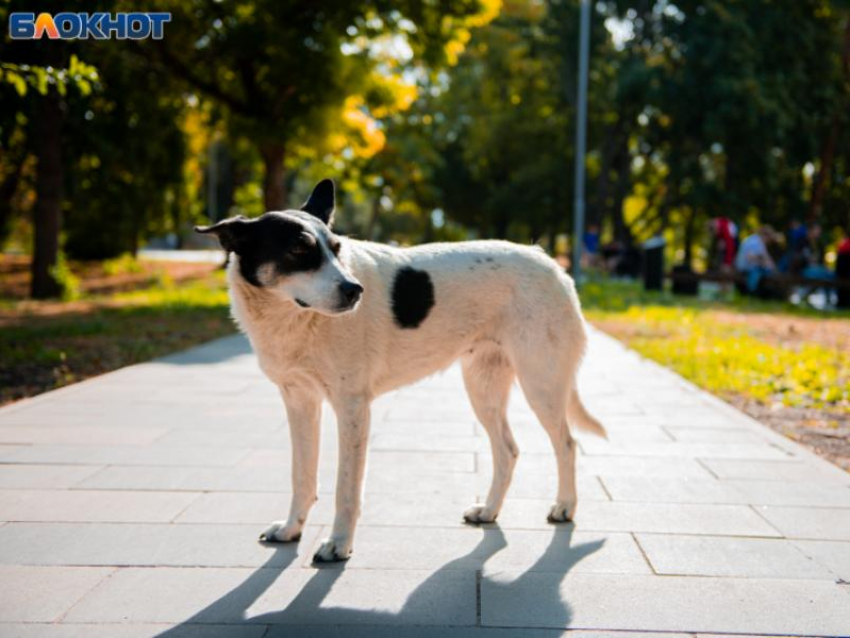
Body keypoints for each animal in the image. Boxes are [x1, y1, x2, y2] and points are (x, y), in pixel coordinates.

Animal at [194, 178, 604, 564]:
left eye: (337, 249)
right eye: (298, 250)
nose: (354, 290)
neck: (293, 318)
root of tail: (548, 261)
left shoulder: (352, 407)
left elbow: (346, 489)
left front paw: (338, 545)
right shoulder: (299, 402)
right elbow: (302, 475)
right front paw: (292, 529)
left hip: (541, 383)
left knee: (567, 444)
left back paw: (565, 507)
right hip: (483, 387)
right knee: (508, 449)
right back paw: (489, 510)